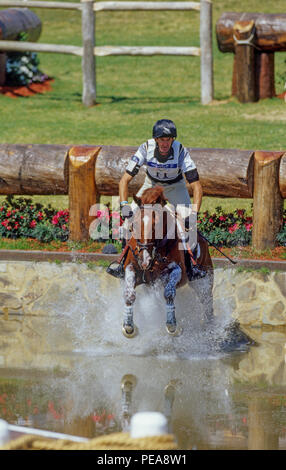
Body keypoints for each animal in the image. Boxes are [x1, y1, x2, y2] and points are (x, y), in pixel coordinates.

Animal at [122, 185, 213, 336]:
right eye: (134, 224)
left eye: (156, 225)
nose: (144, 260)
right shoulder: (132, 268)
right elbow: (129, 294)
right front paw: (128, 326)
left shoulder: (178, 272)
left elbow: (169, 292)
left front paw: (172, 325)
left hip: (204, 280)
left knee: (207, 302)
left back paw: (211, 328)